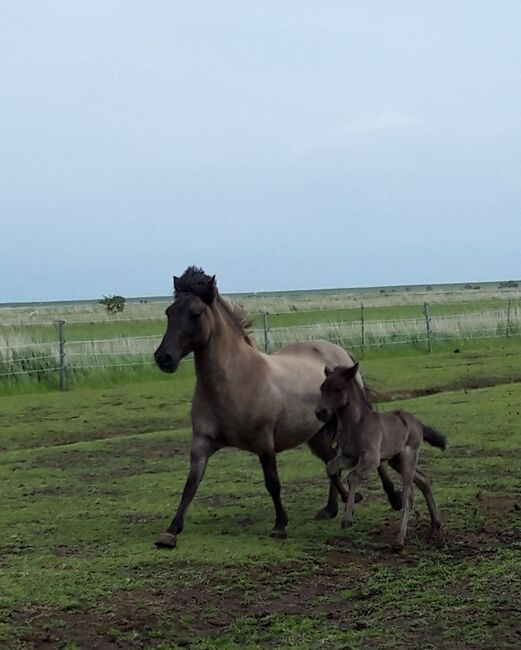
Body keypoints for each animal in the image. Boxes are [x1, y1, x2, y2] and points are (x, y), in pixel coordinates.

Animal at [152, 264, 400, 548]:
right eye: (169, 312)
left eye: (195, 314)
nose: (164, 358)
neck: (237, 380)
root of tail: (341, 353)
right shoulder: (201, 442)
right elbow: (191, 484)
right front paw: (170, 531)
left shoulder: (264, 442)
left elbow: (273, 483)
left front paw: (280, 524)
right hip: (316, 433)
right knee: (331, 463)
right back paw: (333, 508)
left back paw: (393, 498)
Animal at [314, 362, 444, 544]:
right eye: (322, 388)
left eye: (338, 388)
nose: (320, 412)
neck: (356, 424)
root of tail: (418, 423)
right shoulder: (349, 457)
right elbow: (331, 467)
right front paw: (347, 504)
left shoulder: (371, 458)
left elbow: (353, 476)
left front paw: (347, 518)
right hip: (395, 460)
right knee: (423, 480)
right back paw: (435, 523)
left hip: (408, 456)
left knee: (408, 494)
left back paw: (400, 539)